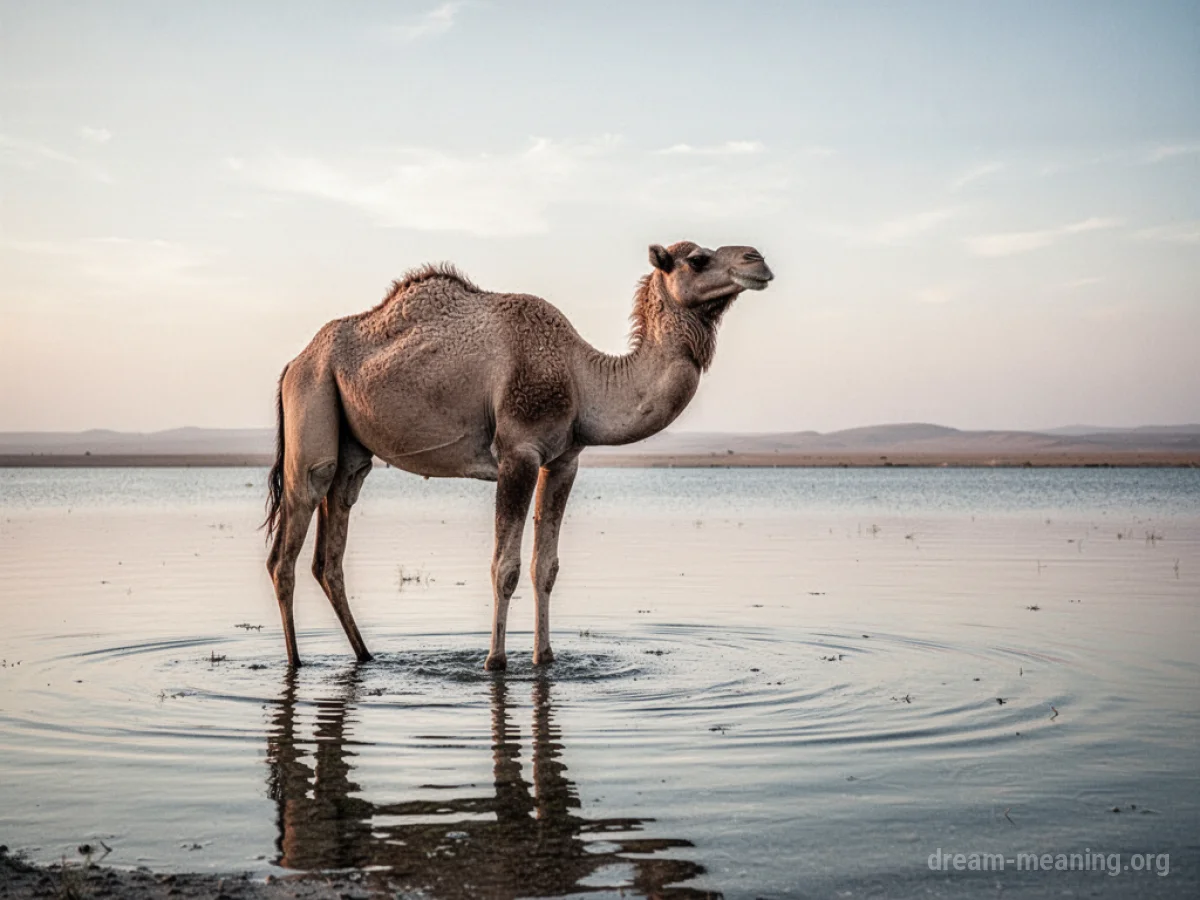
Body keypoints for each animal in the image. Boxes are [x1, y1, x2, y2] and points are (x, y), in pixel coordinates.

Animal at [264, 240, 773, 670]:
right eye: (698, 259)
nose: (757, 259)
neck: (582, 377)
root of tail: (291, 364)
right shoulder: (518, 453)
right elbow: (504, 567)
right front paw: (495, 662)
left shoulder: (563, 461)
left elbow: (544, 567)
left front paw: (544, 658)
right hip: (312, 409)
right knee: (286, 549)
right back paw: (295, 662)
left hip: (351, 450)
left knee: (330, 552)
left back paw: (366, 656)